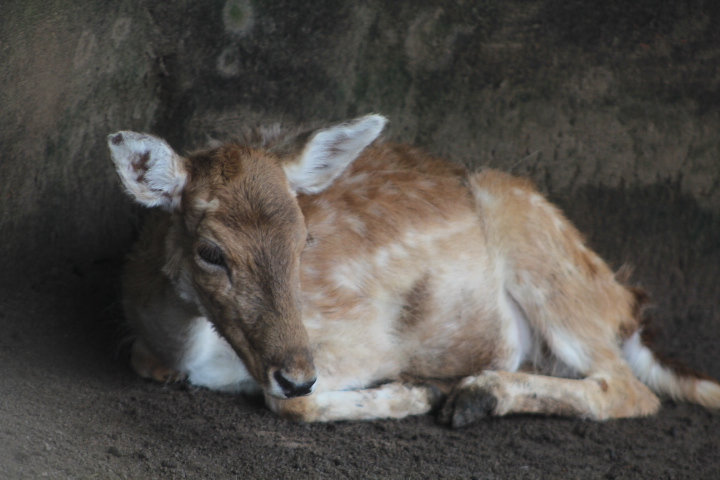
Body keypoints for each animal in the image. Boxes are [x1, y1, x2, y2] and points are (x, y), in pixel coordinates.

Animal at [107, 114, 720, 426]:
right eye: (211, 252)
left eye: (305, 240)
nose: (296, 371)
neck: (186, 351)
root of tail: (628, 306)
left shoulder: (364, 335)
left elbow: (291, 405)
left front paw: (417, 392)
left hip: (545, 259)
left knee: (630, 390)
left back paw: (474, 396)